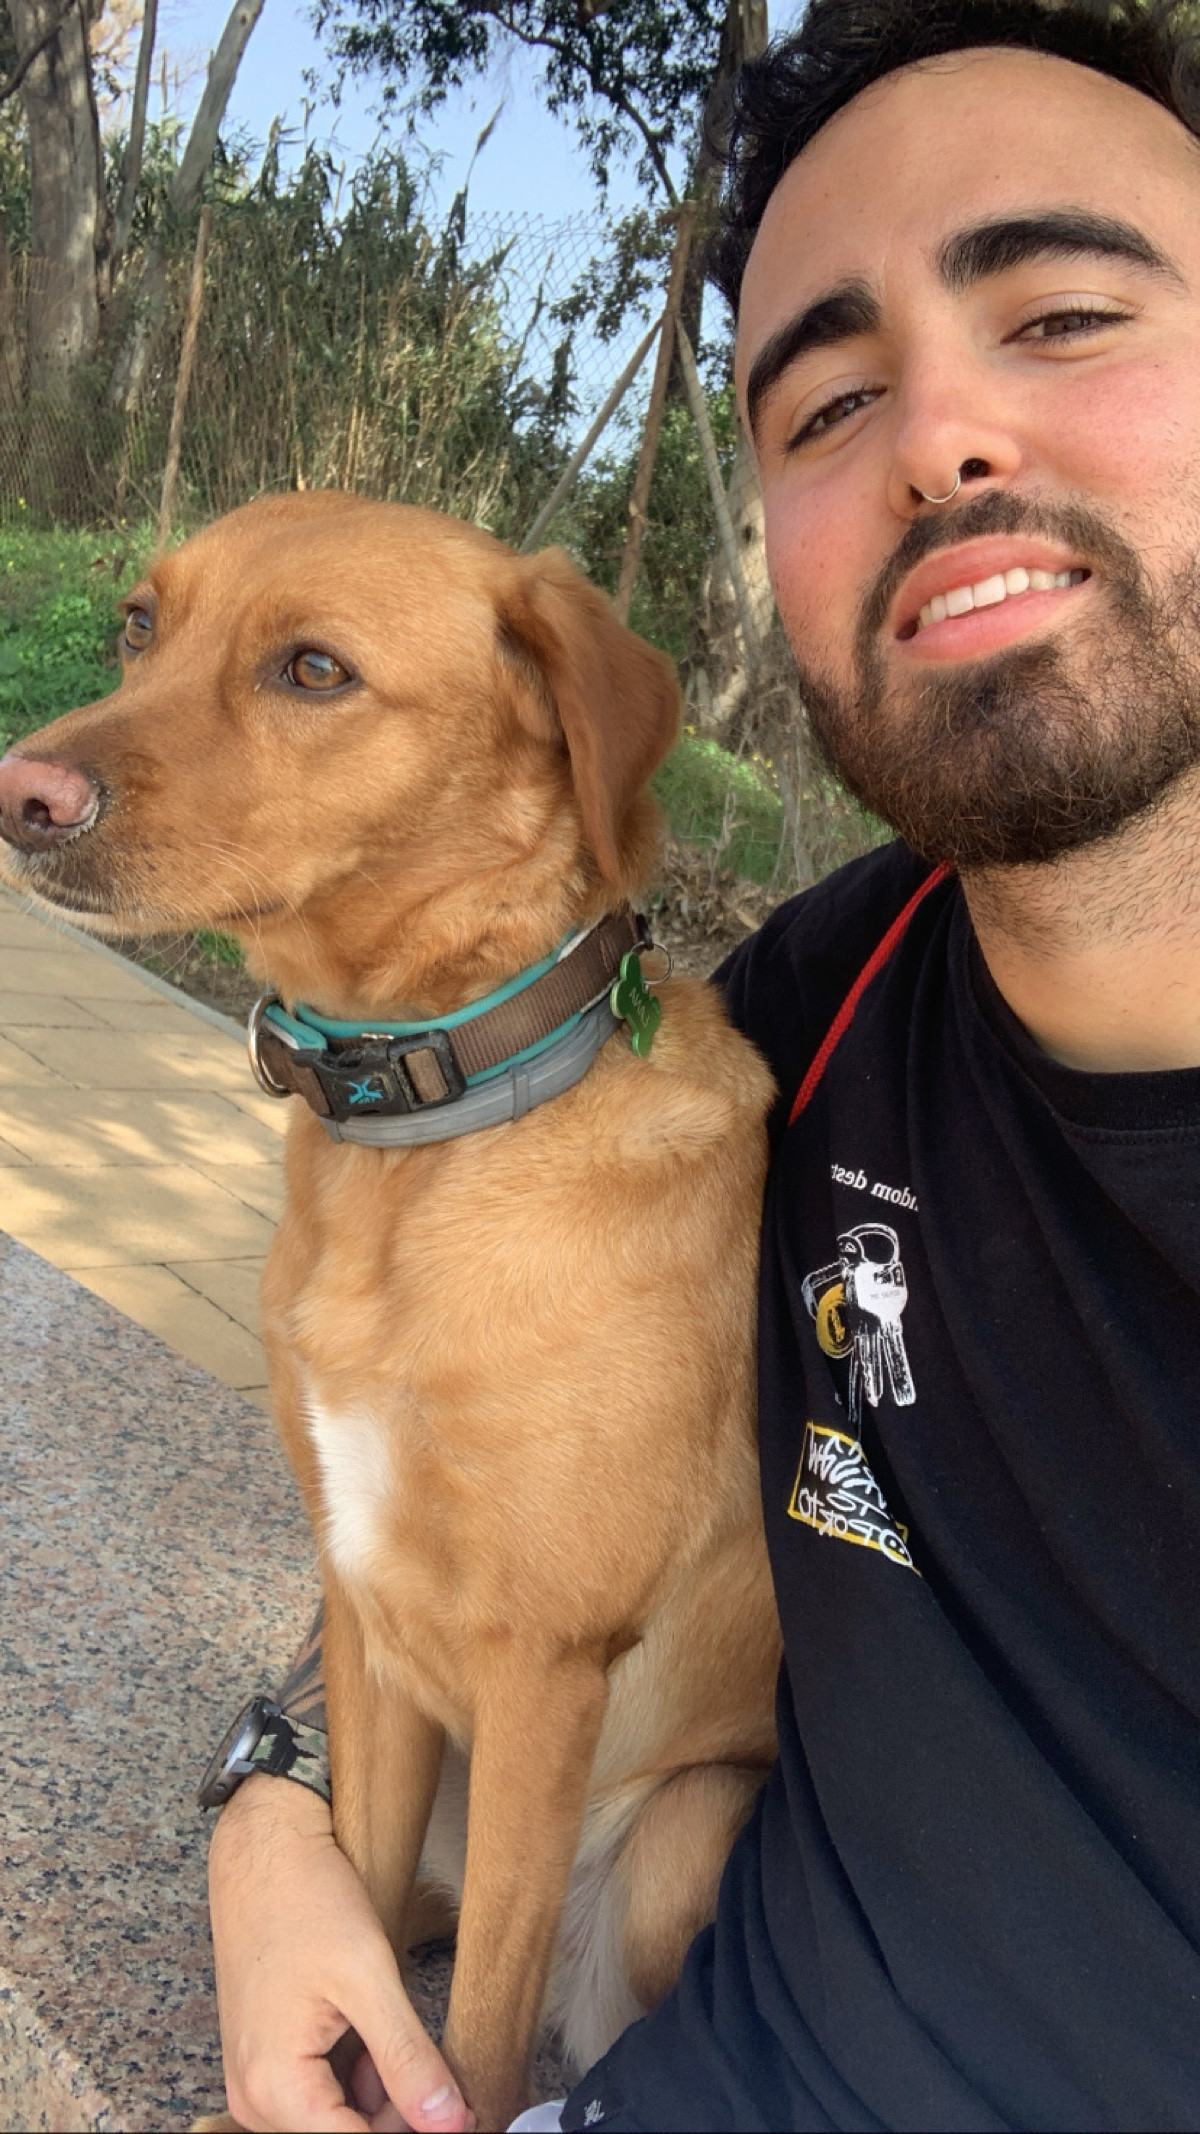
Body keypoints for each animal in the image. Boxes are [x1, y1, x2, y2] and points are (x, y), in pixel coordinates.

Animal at [0, 492, 781, 2129]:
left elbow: (471, 2041)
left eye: (313, 669)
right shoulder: (366, 1625)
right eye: (139, 625)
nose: (18, 793)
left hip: (679, 1841)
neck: (419, 1153)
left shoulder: (545, 1672)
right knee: (414, 1909)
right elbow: (345, 1931)